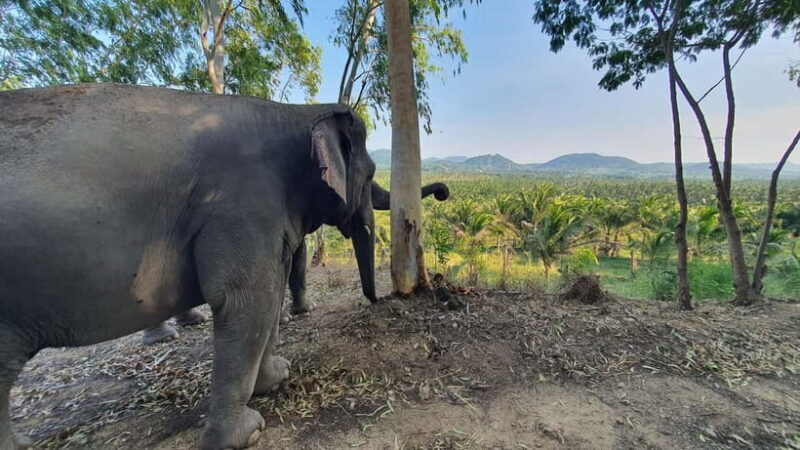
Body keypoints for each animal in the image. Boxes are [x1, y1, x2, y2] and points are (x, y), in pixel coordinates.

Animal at [1, 83, 392, 449]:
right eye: (371, 174)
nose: (378, 301)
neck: (294, 113)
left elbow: (267, 298)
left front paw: (278, 375)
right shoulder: (243, 205)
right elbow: (247, 299)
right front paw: (247, 433)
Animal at [141, 181, 450, 345]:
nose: (443, 193)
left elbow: (298, 252)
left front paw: (303, 310)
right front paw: (283, 318)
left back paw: (193, 320)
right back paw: (163, 336)